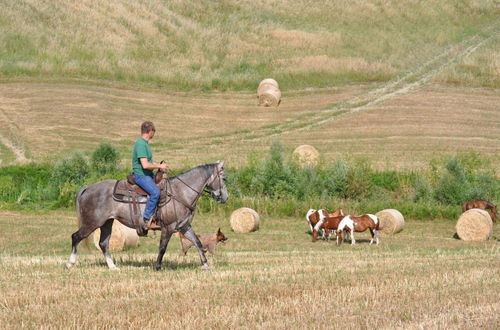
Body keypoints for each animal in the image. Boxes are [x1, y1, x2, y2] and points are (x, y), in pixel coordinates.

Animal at [66, 160, 229, 270]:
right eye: (224, 178)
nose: (225, 198)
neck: (180, 192)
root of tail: (88, 187)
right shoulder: (168, 228)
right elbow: (162, 248)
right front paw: (157, 266)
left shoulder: (184, 226)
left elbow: (198, 243)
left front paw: (205, 265)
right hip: (92, 222)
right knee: (76, 237)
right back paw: (70, 263)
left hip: (107, 223)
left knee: (103, 243)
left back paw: (112, 266)